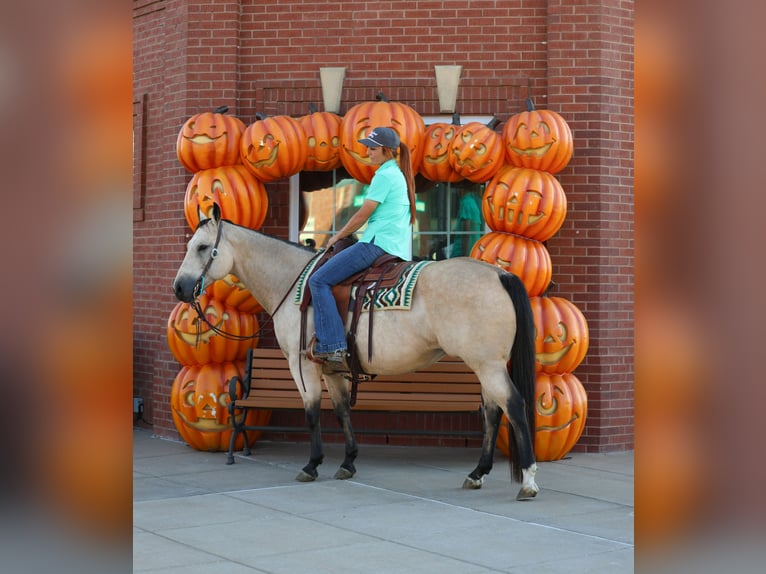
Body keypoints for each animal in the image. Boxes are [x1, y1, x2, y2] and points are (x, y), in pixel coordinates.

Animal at [172, 205, 540, 500]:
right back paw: (478, 473)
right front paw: (348, 462)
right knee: (493, 411)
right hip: (484, 365)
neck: (292, 282)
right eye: (189, 246)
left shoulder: (300, 364)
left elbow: (311, 412)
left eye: (203, 247)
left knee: (513, 406)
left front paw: (312, 464)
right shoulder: (333, 368)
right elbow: (341, 411)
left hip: (487, 365)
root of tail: (499, 272)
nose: (180, 287)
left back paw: (528, 481)